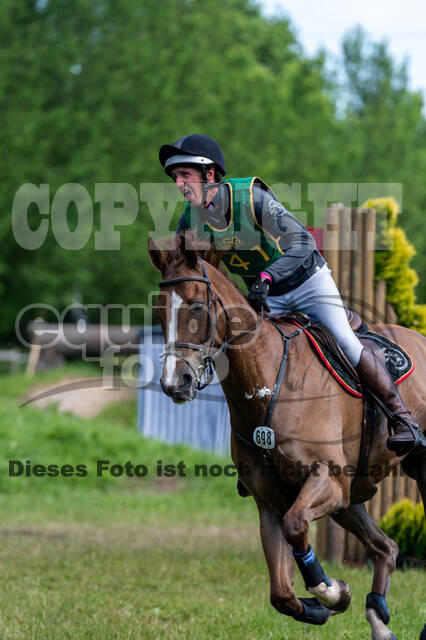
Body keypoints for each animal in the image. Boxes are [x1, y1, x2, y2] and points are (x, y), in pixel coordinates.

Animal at [148, 233, 426, 640]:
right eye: (159, 309)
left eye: (197, 306)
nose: (175, 383)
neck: (267, 383)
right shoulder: (271, 501)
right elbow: (281, 593)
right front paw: (324, 603)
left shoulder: (327, 479)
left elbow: (297, 527)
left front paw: (329, 589)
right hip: (352, 499)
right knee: (386, 548)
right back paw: (378, 617)